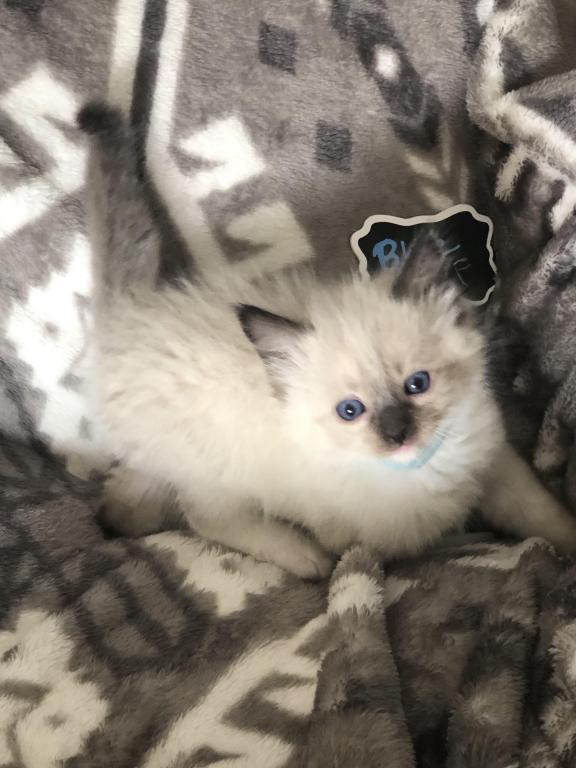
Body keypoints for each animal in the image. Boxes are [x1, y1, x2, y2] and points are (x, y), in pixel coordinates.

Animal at [79, 105, 576, 580]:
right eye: (349, 411)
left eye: (417, 385)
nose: (397, 433)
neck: (420, 473)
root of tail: (132, 312)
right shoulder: (360, 536)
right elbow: (374, 554)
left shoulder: (495, 469)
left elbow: (544, 515)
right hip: (217, 469)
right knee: (203, 516)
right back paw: (303, 558)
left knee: (127, 495)